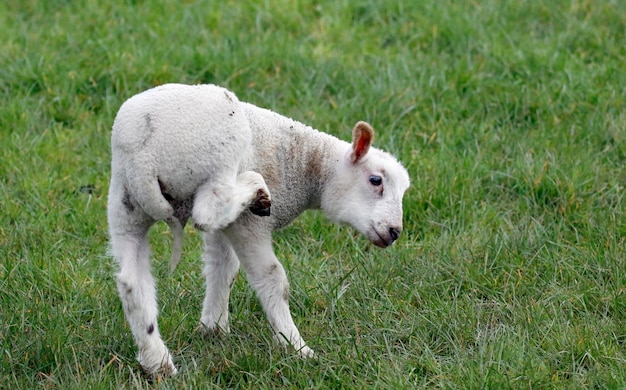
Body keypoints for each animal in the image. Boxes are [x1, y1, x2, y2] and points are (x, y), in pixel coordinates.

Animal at [107, 83, 410, 378]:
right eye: (375, 180)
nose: (395, 231)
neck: (304, 163)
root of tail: (142, 158)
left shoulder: (227, 227)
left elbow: (223, 268)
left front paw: (213, 328)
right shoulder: (248, 225)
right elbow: (273, 279)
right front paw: (296, 347)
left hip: (125, 204)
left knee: (132, 282)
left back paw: (157, 362)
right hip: (218, 155)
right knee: (208, 211)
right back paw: (255, 187)